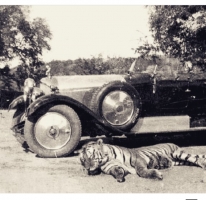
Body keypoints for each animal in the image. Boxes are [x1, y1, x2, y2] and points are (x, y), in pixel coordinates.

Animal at [77, 139, 206, 183]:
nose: (87, 169)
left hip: (178, 153)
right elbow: (116, 170)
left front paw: (155, 174)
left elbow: (141, 171)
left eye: (91, 155)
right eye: (83, 160)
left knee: (197, 158)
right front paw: (119, 177)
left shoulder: (138, 158)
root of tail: (174, 143)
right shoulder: (110, 167)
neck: (106, 159)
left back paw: (204, 165)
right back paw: (165, 163)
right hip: (179, 161)